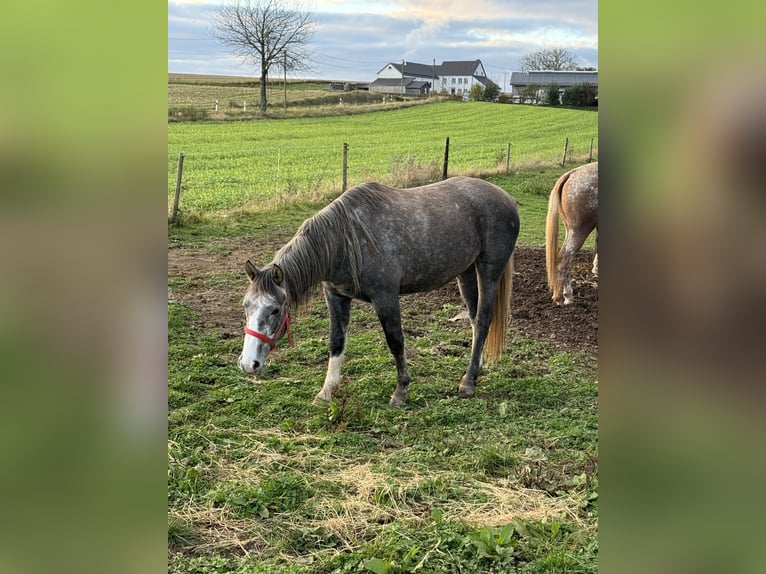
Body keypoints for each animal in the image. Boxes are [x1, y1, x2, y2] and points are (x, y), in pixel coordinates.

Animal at [237, 178, 520, 408]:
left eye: (275, 309)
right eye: (246, 306)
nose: (248, 364)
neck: (345, 241)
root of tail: (506, 197)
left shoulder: (385, 298)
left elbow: (396, 342)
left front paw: (401, 392)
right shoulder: (336, 297)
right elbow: (336, 342)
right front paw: (326, 392)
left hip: (489, 270)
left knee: (483, 320)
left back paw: (468, 382)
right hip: (466, 272)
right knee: (473, 319)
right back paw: (475, 368)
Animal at [544, 163, 600, 306]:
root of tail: (570, 174)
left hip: (570, 230)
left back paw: (567, 296)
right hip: (579, 230)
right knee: (564, 260)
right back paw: (561, 298)